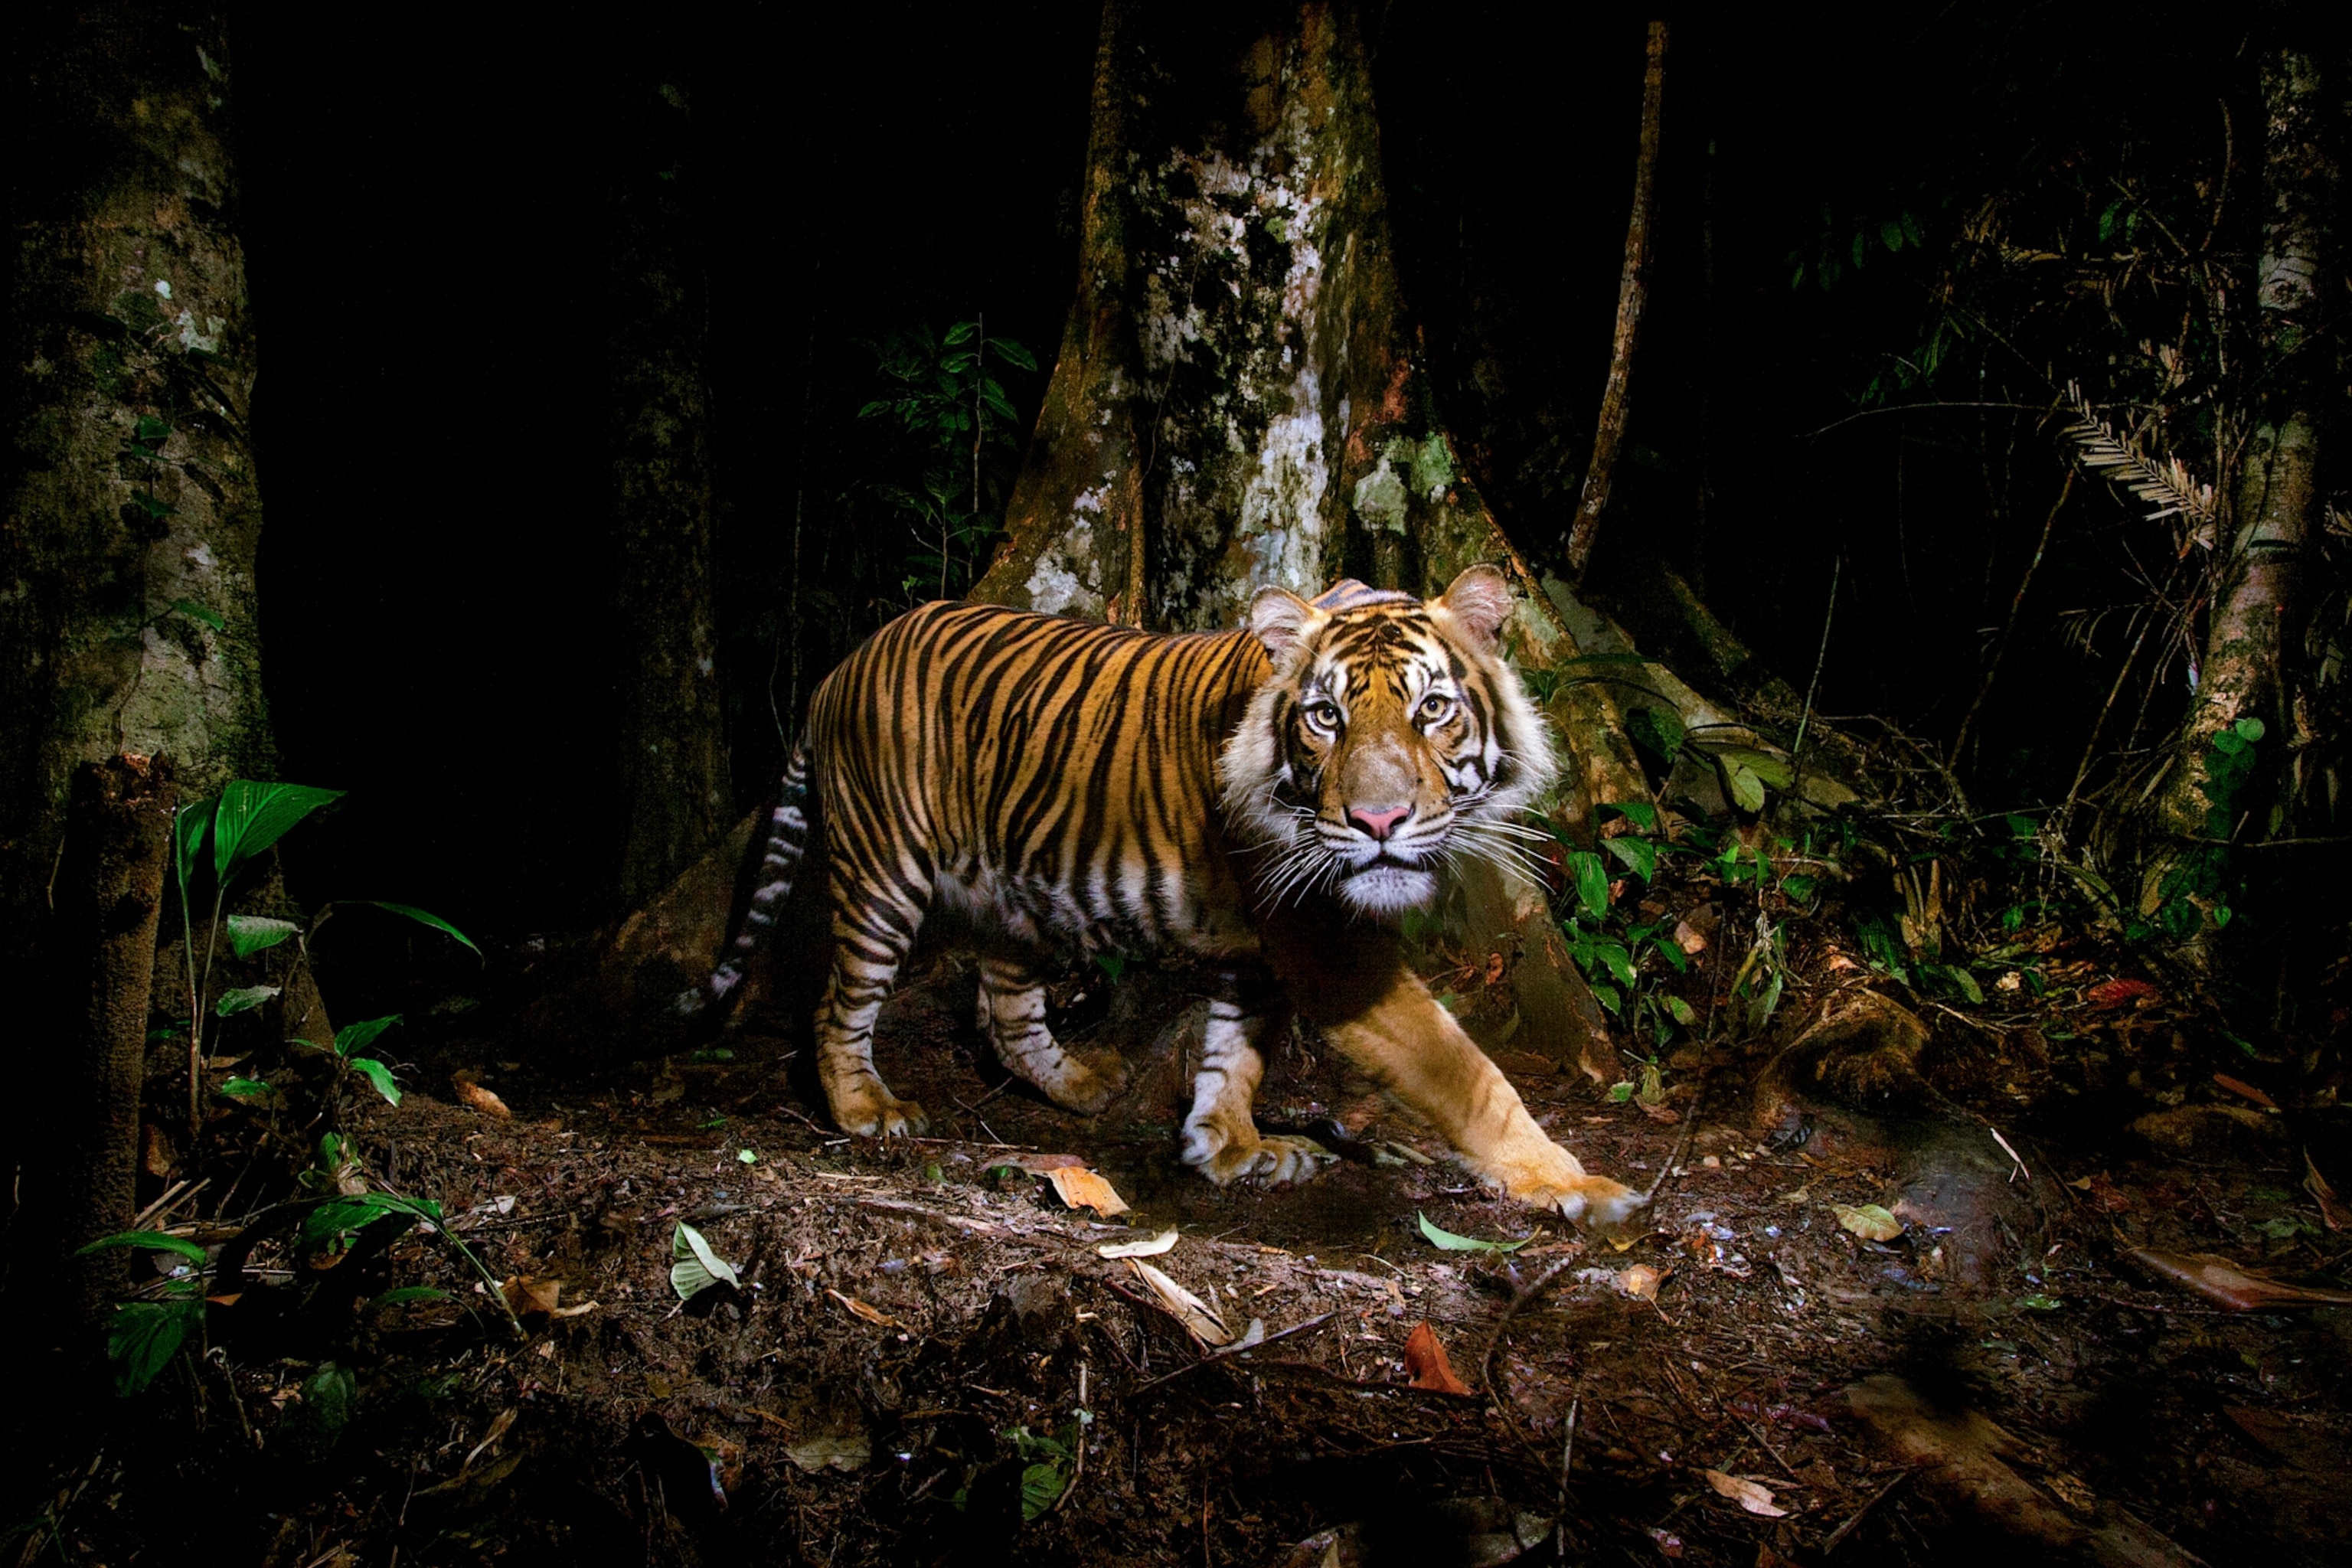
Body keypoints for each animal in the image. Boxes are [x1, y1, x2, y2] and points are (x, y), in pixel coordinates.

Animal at [682, 565, 1643, 1225]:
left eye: (1433, 709)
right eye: (1325, 716)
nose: (1377, 819)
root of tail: (839, 666)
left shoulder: (1264, 945)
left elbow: (1234, 1053)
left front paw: (1230, 1147)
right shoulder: (1325, 945)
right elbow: (1467, 1073)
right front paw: (1574, 1182)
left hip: (1016, 890)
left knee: (1005, 1005)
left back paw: (1082, 1084)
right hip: (885, 870)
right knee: (840, 1001)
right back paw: (866, 1108)